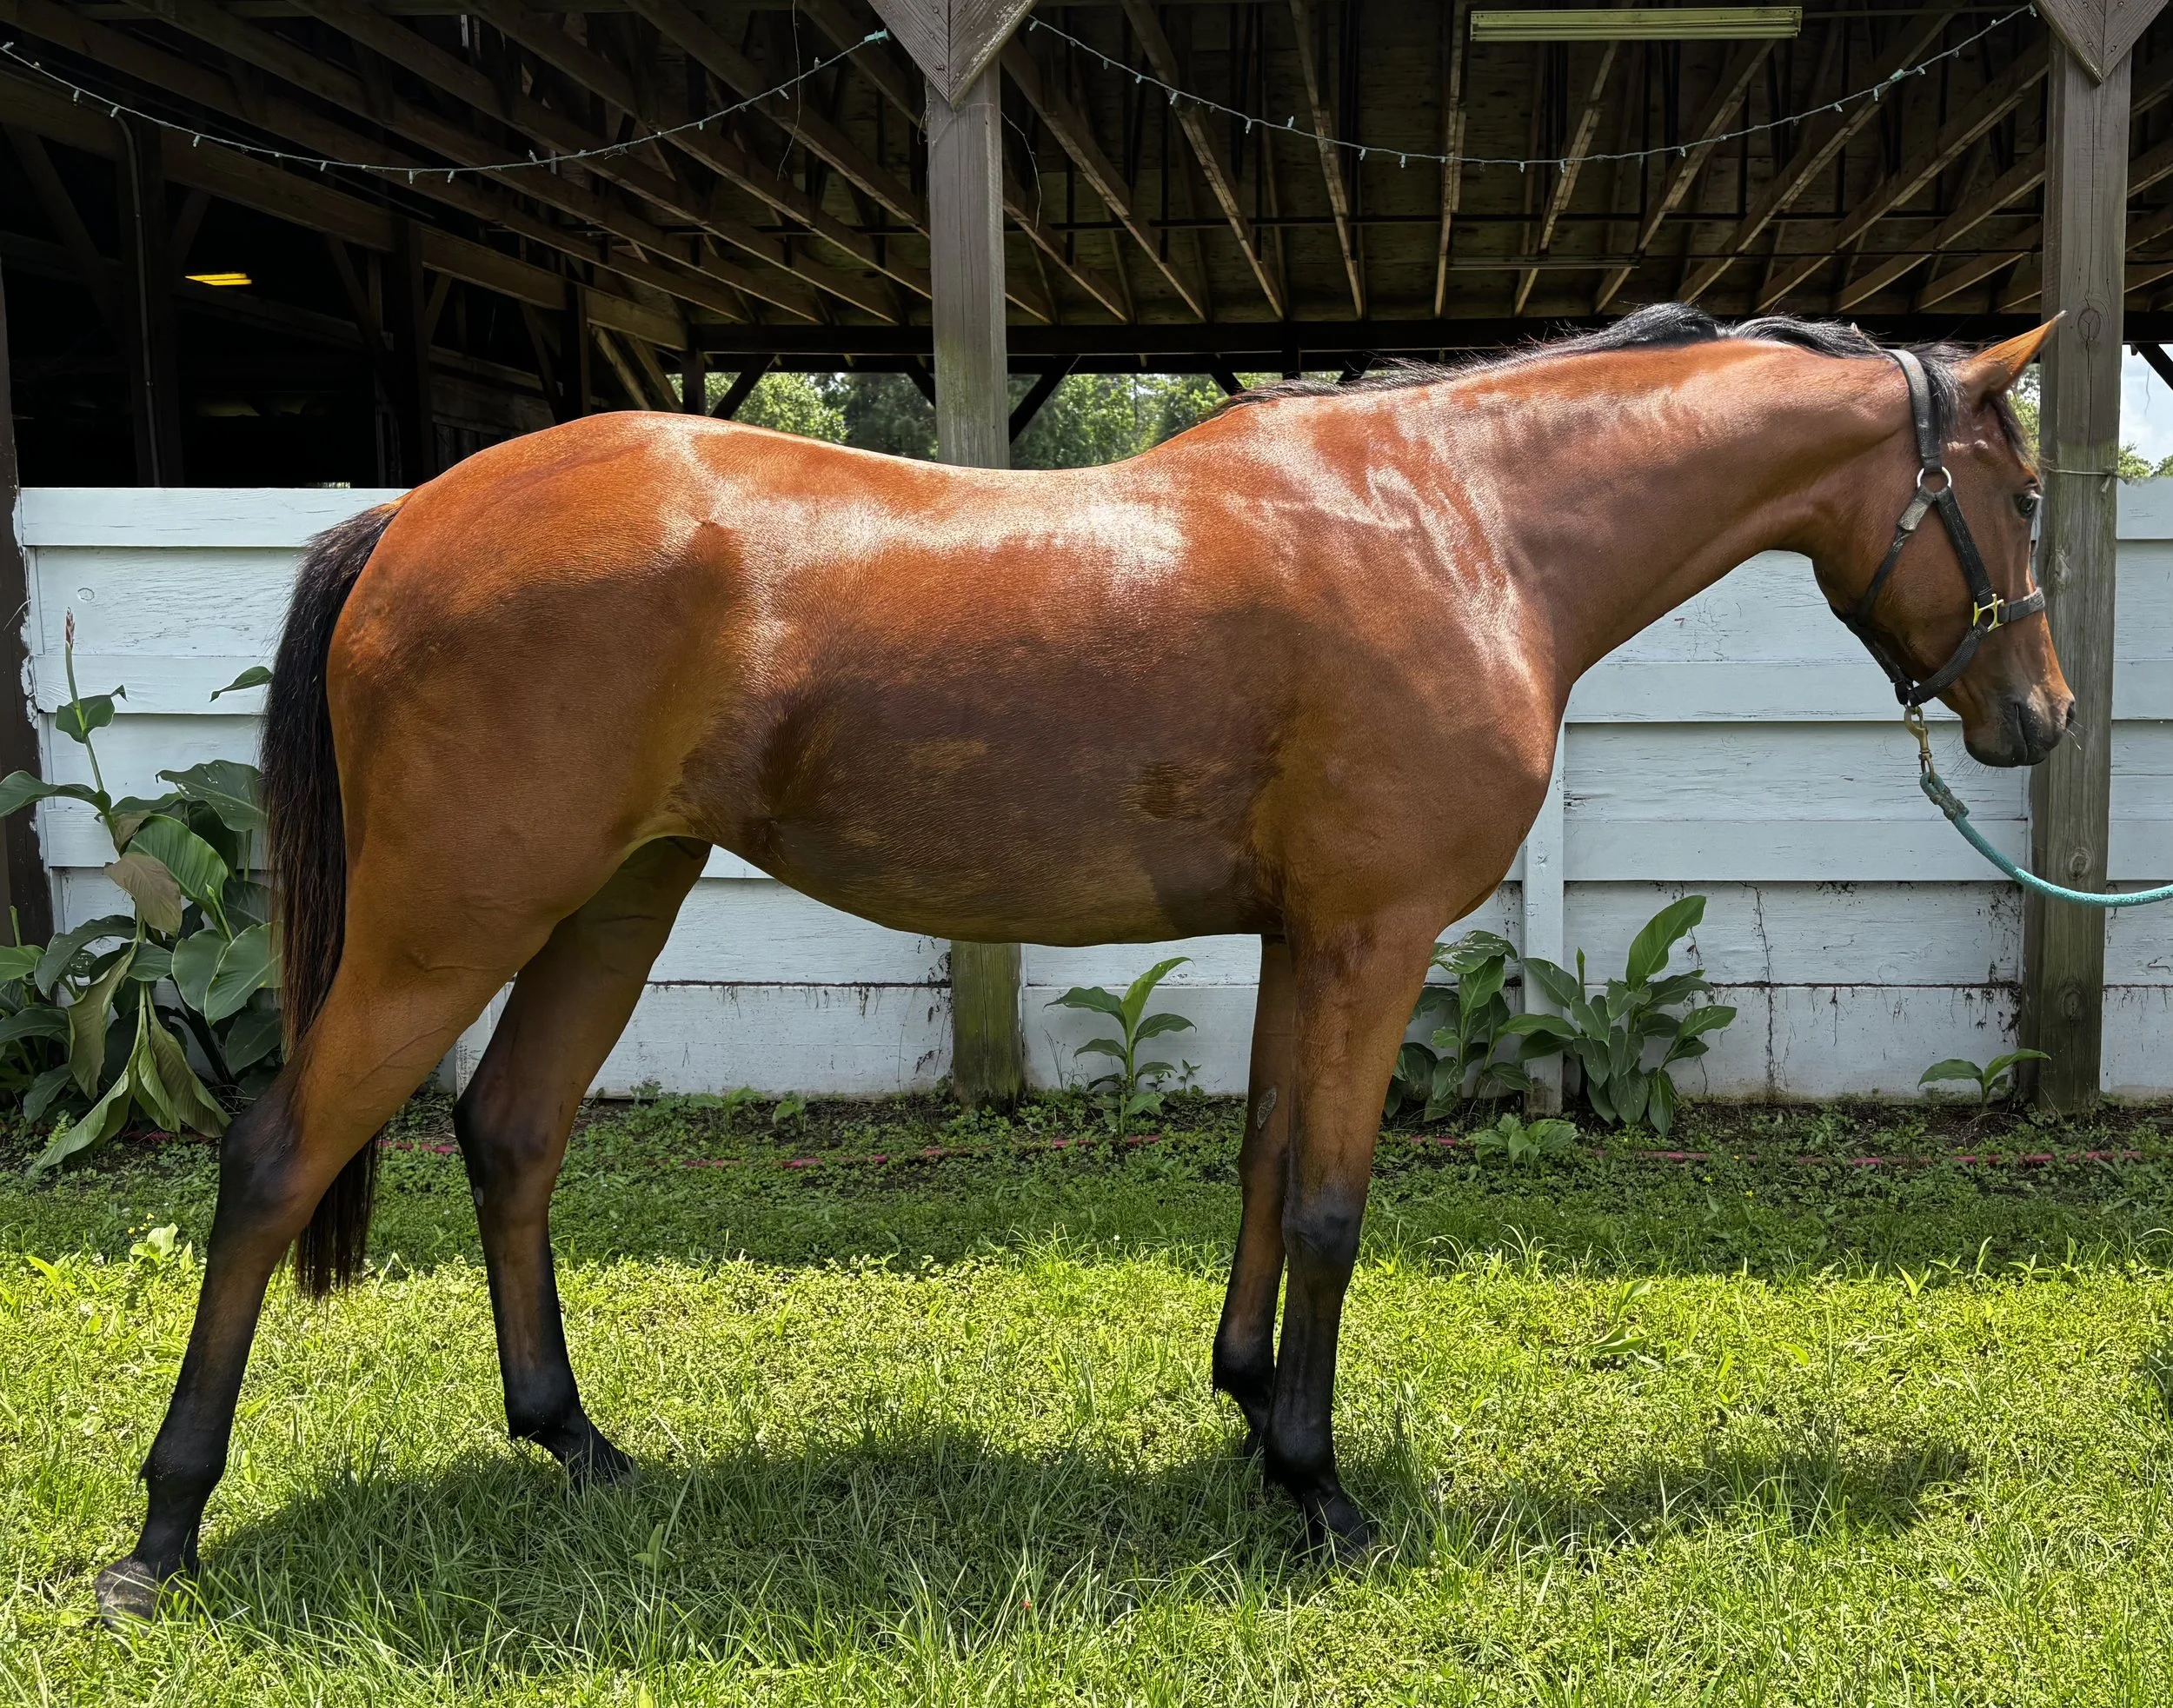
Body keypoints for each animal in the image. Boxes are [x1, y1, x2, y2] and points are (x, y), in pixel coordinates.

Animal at [94, 304, 2068, 1622]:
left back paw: (575, 1443)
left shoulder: (1303, 939)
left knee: (511, 1132)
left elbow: (1265, 1166)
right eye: (2027, 485)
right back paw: (161, 1533)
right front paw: (1321, 1492)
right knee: (276, 1159)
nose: (2039, 718)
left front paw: (1252, 1411)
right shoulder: (1372, 936)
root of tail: (410, 518)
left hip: (616, 898)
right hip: (455, 917)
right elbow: (1333, 1203)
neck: (1458, 520)